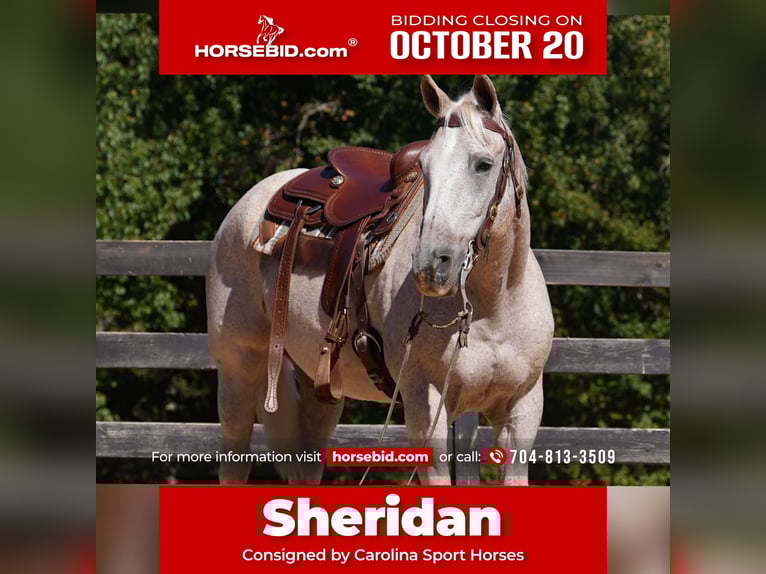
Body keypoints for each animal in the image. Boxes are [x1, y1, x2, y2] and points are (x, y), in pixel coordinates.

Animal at [206, 75, 554, 485]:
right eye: (425, 166)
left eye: (483, 164)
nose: (431, 264)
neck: (494, 306)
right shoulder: (425, 408)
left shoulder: (522, 410)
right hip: (238, 369)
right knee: (234, 459)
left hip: (320, 386)